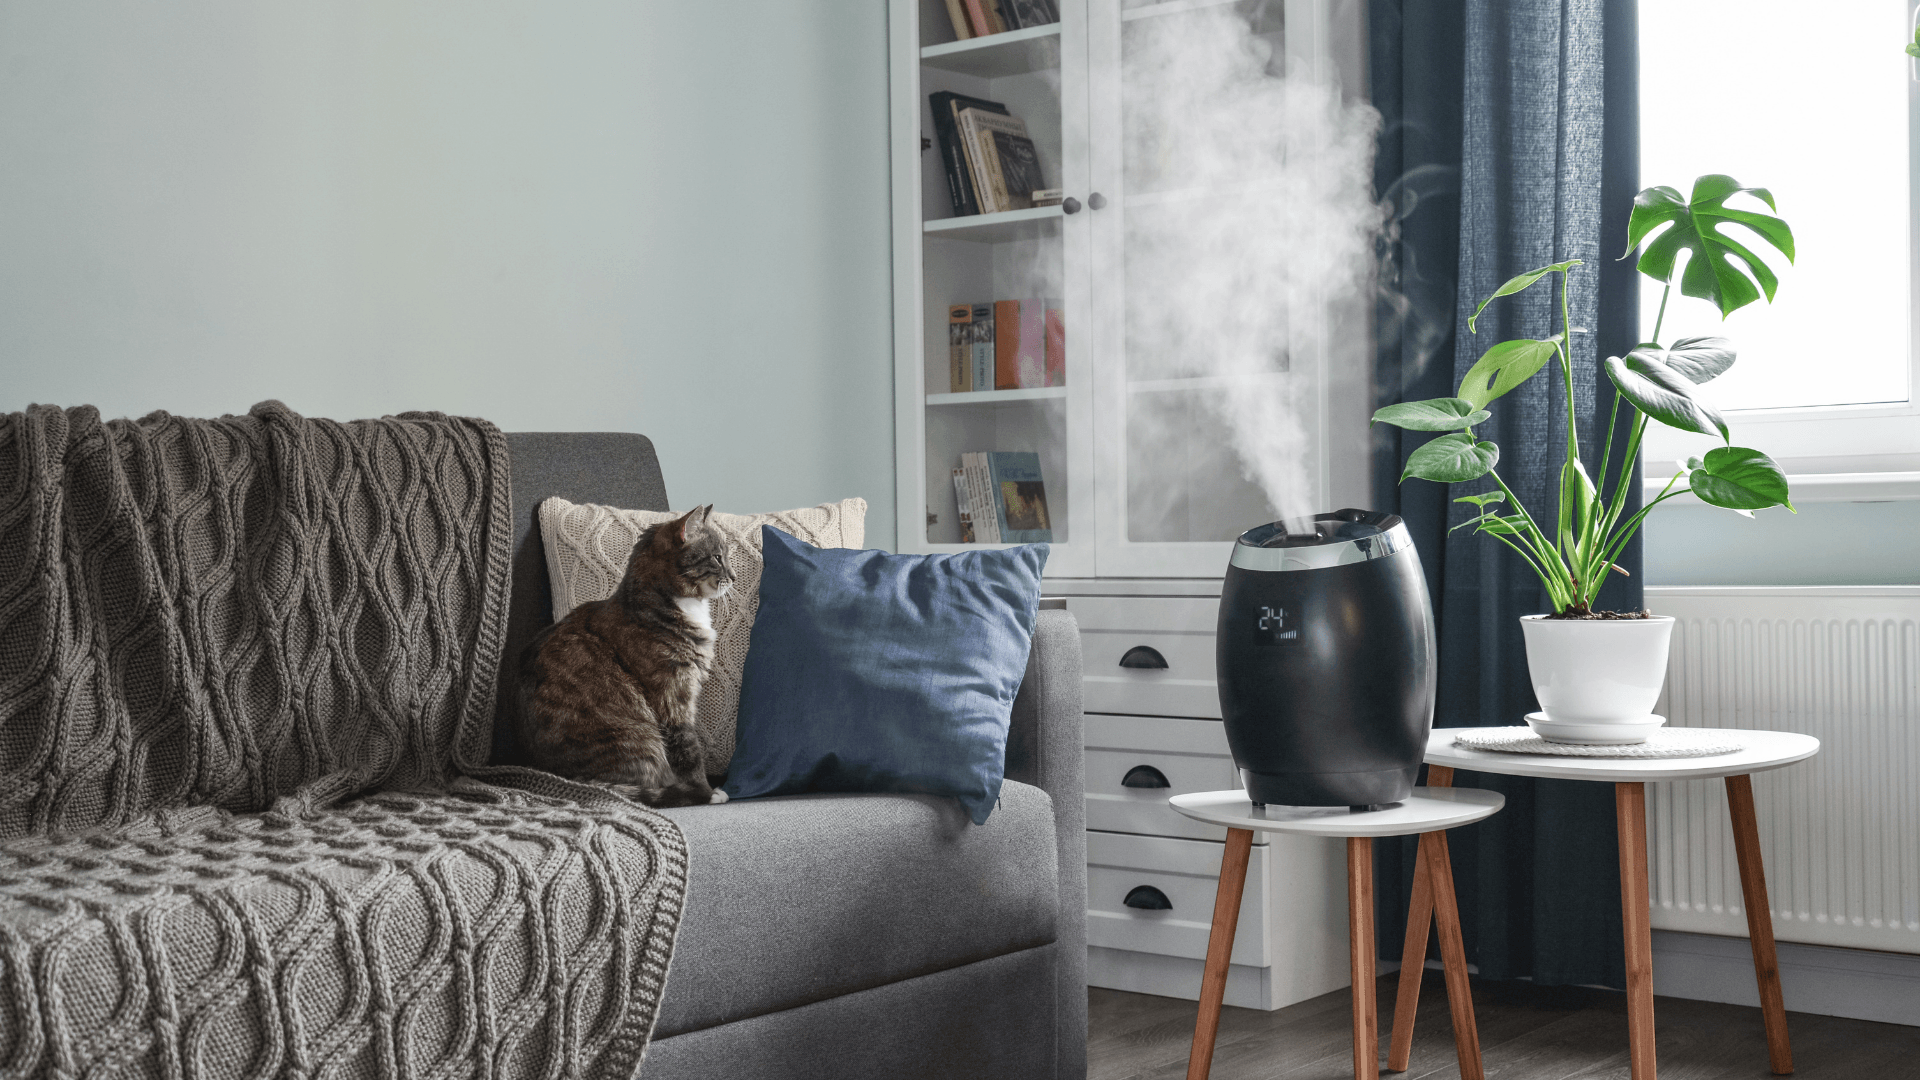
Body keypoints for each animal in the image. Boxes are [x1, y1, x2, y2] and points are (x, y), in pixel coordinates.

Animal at [518, 503, 733, 799]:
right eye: (717, 557)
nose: (733, 577)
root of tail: (568, 780)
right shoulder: (672, 695)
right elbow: (687, 749)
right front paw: (705, 791)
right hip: (638, 735)